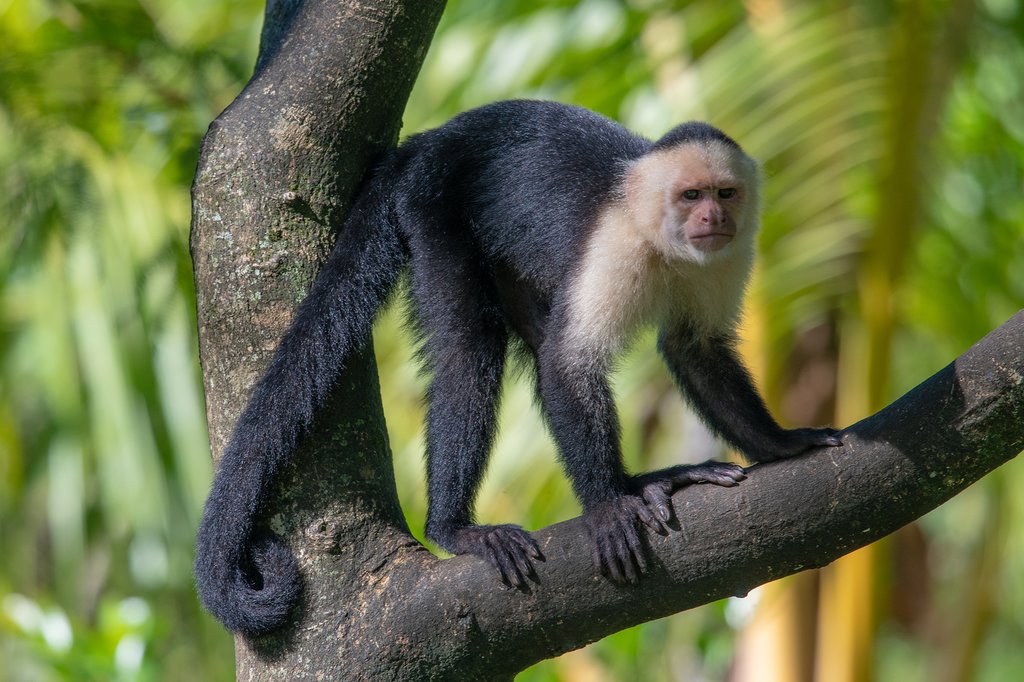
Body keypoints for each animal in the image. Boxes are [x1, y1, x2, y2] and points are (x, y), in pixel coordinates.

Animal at [193, 99, 844, 636]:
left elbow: (695, 348)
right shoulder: (614, 242)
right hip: (434, 207)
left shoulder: (727, 255)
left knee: (531, 330)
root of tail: (430, 140)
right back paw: (456, 528)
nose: (712, 218)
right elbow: (568, 363)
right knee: (470, 355)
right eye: (690, 196)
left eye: (724, 194)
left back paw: (644, 482)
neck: (661, 240)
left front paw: (781, 443)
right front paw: (606, 508)